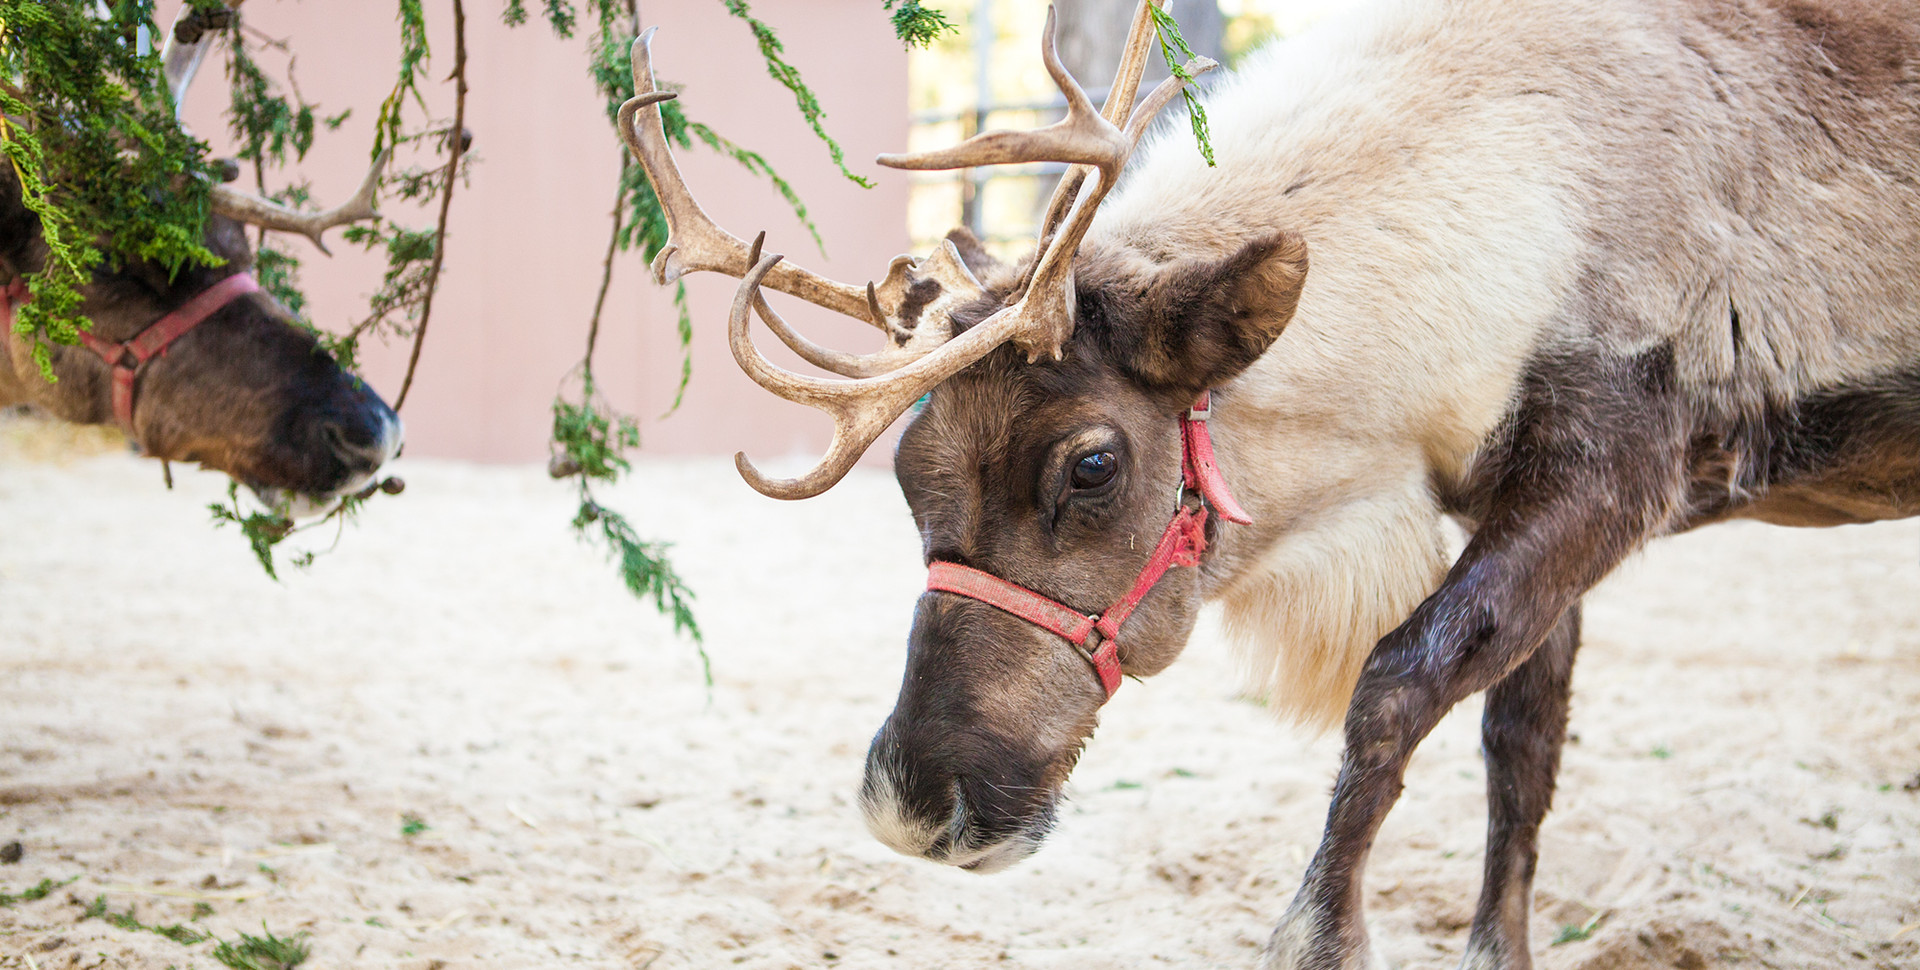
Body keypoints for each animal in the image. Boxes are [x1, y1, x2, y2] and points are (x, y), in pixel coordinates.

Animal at [620, 0, 1920, 966]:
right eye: (907, 467)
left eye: (1093, 464)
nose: (908, 803)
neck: (1529, 198)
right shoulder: (1517, 498)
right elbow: (1522, 749)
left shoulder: (1615, 463)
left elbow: (1397, 686)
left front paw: (1319, 938)